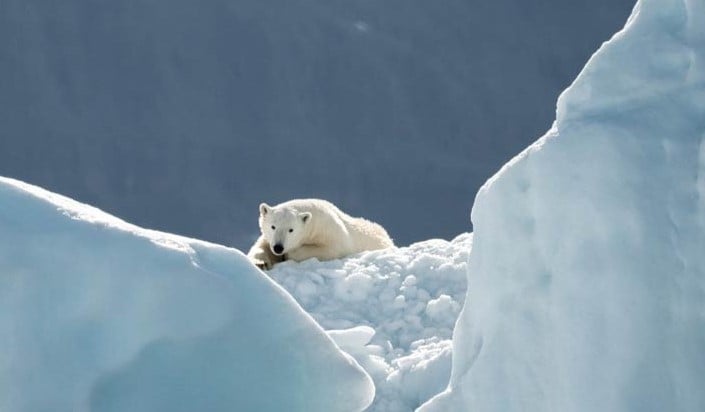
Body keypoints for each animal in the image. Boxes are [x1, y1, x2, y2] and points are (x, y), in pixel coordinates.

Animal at [246, 199, 390, 270]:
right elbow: (260, 247)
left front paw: (289, 254)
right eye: (273, 226)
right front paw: (260, 263)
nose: (278, 247)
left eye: (291, 230)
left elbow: (331, 249)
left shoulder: (329, 230)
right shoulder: (268, 238)